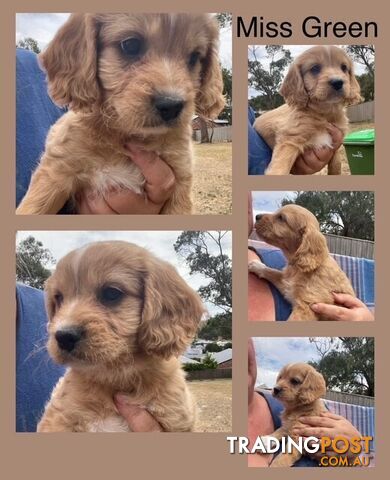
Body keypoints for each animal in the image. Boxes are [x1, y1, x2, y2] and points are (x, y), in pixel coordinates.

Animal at [16, 12, 224, 214]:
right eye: (130, 45)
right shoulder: (56, 171)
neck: (126, 133)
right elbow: (32, 208)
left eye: (194, 57)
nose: (171, 105)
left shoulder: (180, 178)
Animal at [254, 45, 362, 175]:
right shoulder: (290, 139)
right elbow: (279, 168)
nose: (337, 82)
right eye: (315, 68)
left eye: (344, 67)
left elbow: (336, 164)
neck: (325, 114)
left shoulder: (336, 142)